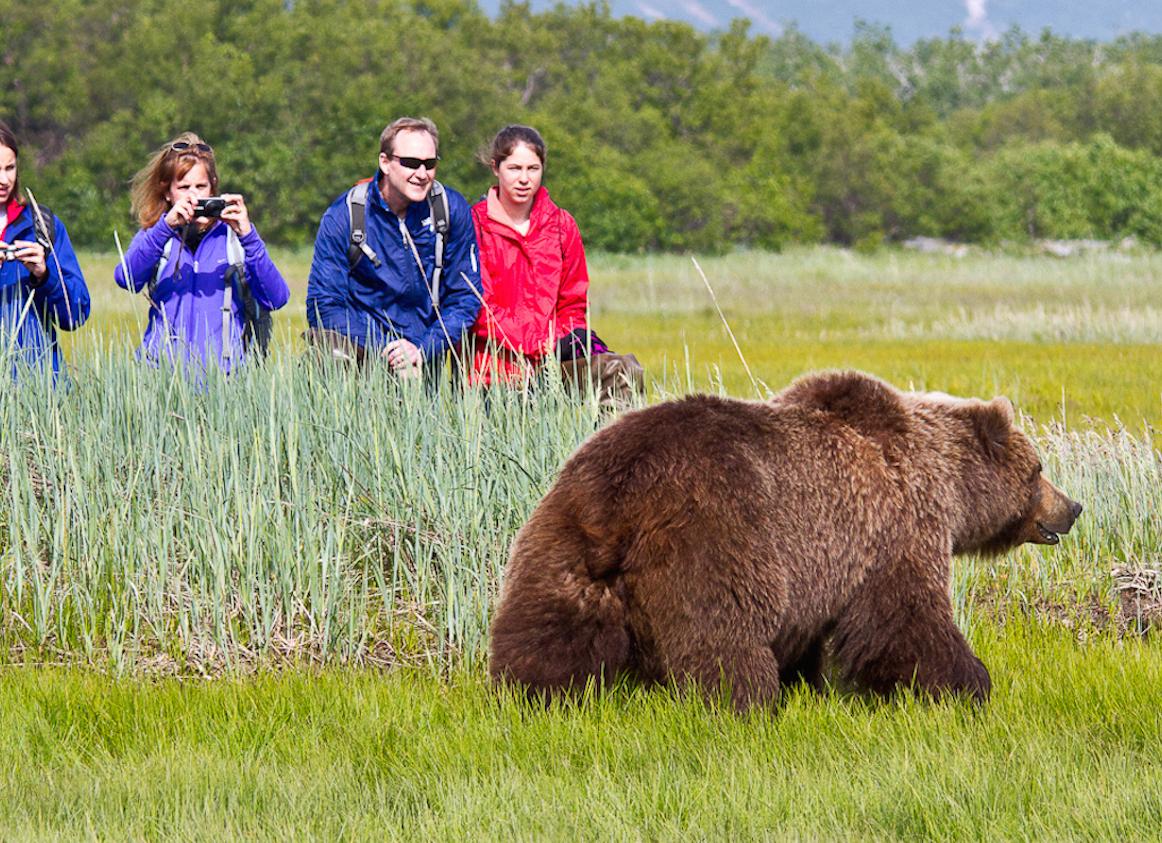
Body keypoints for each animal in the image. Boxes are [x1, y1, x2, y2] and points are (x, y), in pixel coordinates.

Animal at [488, 372, 1078, 706]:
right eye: (1039, 469)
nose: (1072, 508)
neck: (945, 486)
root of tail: (623, 496)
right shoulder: (894, 529)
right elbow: (905, 617)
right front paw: (967, 684)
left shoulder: (828, 556)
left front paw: (808, 683)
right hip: (720, 535)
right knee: (722, 633)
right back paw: (743, 701)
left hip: (562, 533)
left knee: (547, 626)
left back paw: (532, 691)